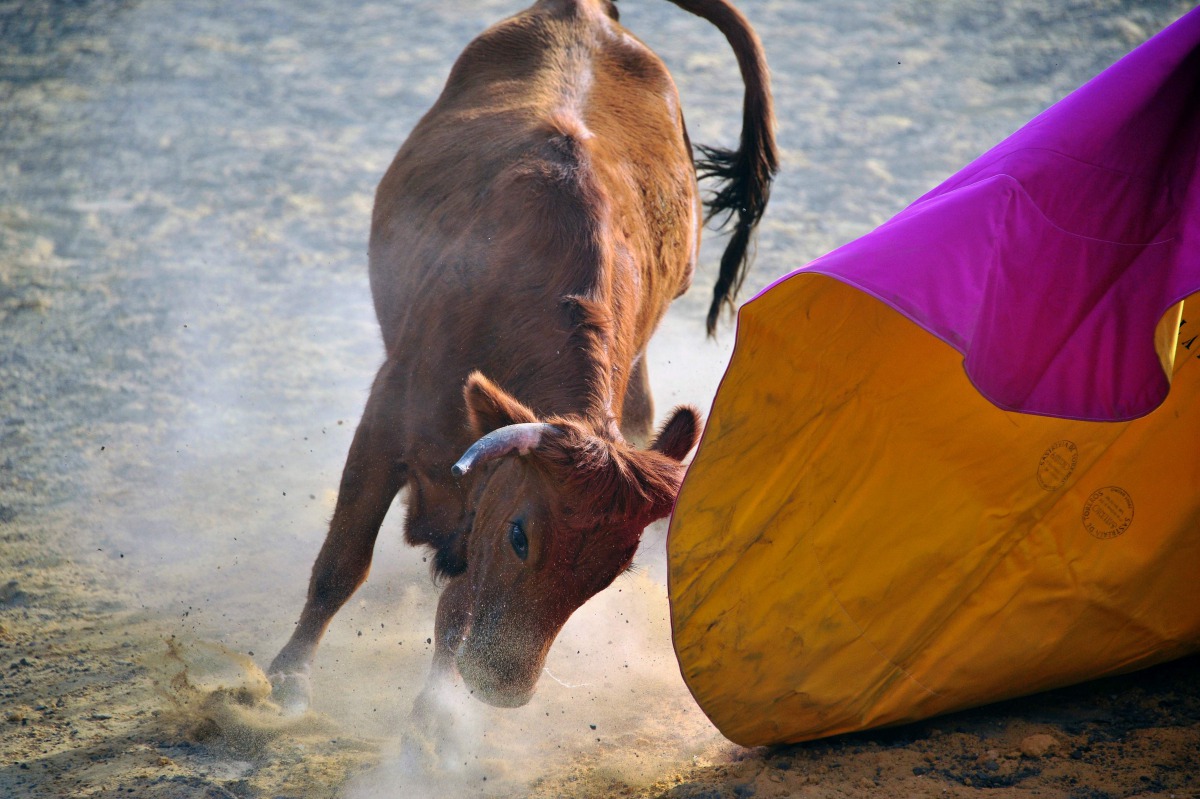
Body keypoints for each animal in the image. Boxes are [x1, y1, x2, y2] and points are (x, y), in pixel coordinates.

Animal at [267, 0, 776, 714]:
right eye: (521, 536)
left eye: (610, 572)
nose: (503, 688)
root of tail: (590, 13)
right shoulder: (384, 420)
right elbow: (342, 562)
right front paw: (284, 684)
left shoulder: (483, 498)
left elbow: (456, 613)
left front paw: (435, 721)